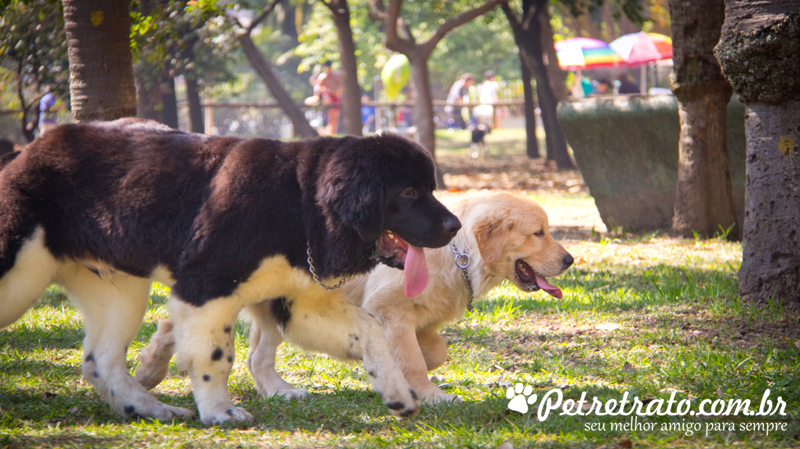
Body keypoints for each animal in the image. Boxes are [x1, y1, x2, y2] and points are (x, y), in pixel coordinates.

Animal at [0, 118, 460, 424]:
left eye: (430, 188)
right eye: (409, 191)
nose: (454, 226)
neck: (297, 203)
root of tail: (31, 148)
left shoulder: (296, 301)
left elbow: (369, 329)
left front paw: (397, 391)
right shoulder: (206, 289)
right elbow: (215, 354)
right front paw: (220, 411)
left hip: (118, 289)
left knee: (100, 361)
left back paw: (151, 408)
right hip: (20, 273)